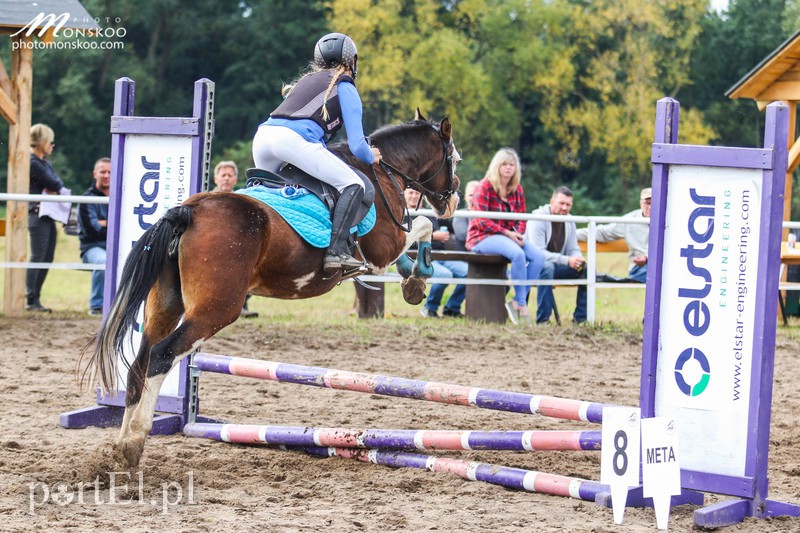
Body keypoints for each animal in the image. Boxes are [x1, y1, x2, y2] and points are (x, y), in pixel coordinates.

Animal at [84, 111, 461, 468]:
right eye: (454, 159)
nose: (453, 200)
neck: (383, 171)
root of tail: (187, 211)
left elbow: (419, 230)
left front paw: (413, 279)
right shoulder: (383, 248)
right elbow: (423, 224)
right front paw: (419, 278)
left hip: (165, 303)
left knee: (140, 360)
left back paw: (120, 446)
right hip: (216, 308)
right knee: (162, 354)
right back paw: (135, 441)